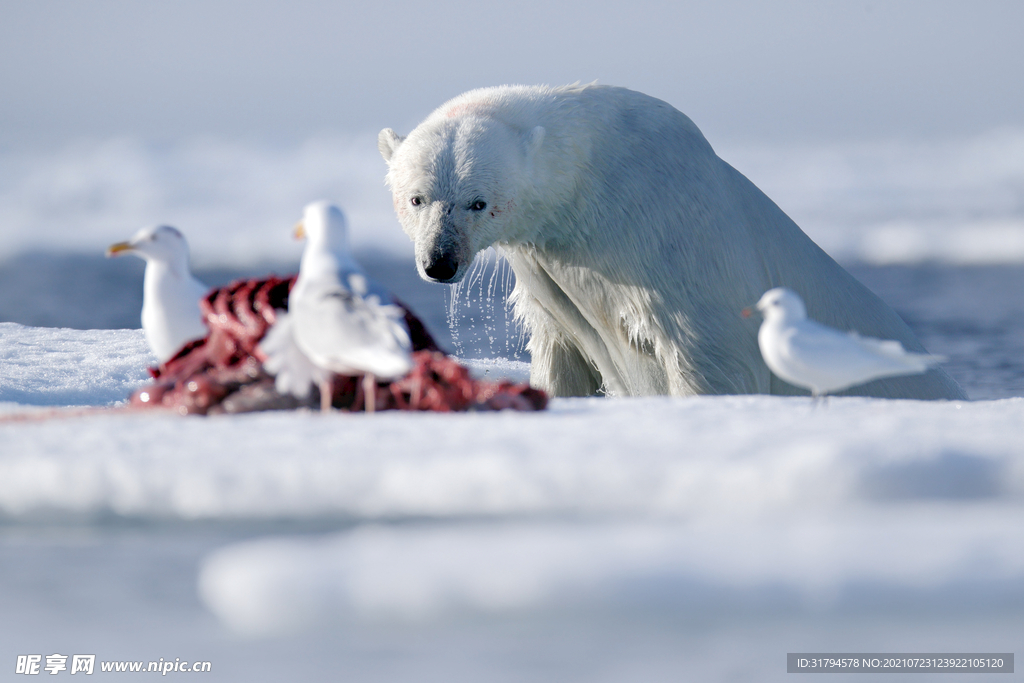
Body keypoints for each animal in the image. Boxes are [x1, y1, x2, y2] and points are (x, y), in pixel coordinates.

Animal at [378, 83, 966, 401]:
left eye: (478, 202)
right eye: (416, 198)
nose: (440, 262)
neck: (595, 182)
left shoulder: (670, 239)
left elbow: (715, 356)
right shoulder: (552, 275)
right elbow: (560, 356)